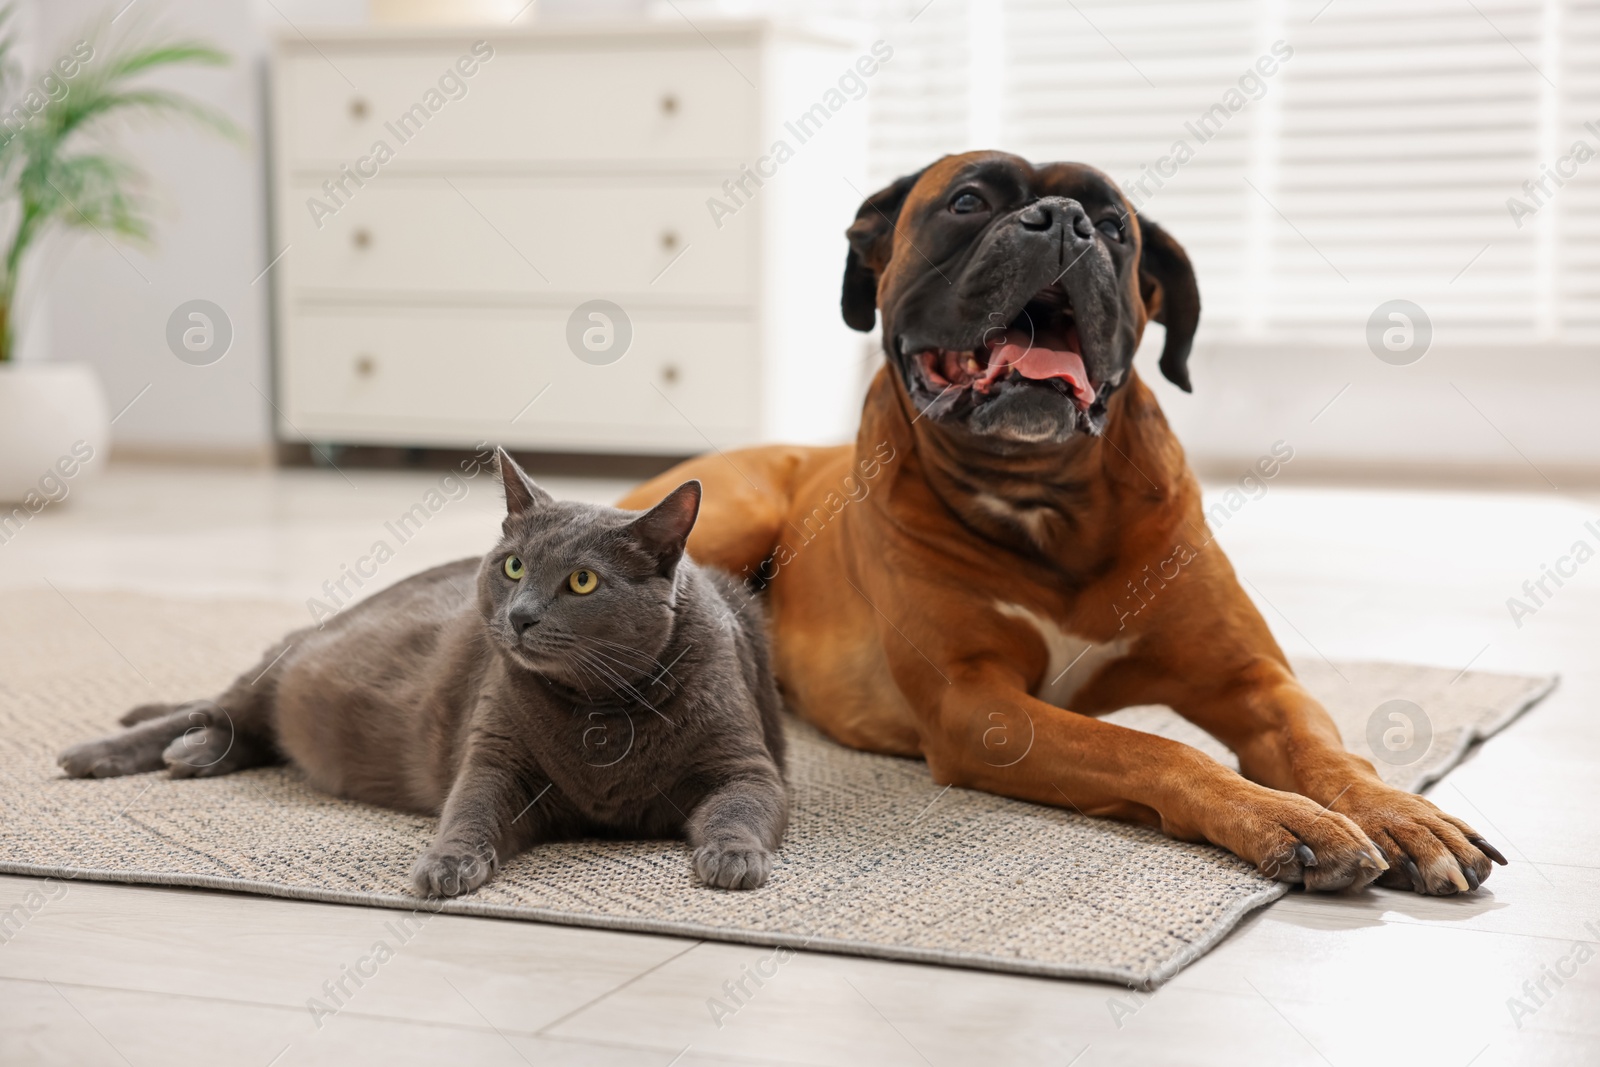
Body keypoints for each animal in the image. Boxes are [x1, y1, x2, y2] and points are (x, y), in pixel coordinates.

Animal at [59, 447, 784, 895]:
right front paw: (447, 863)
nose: (520, 614)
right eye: (514, 565)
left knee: (245, 731)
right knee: (216, 705)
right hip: (287, 666)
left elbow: (741, 807)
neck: (600, 708)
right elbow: (471, 807)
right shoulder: (495, 754)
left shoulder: (747, 763)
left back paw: (196, 753)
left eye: (582, 581)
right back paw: (101, 753)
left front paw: (734, 857)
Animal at [617, 150, 1504, 895]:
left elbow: (1329, 749)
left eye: (1113, 225)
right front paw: (1278, 814)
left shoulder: (1253, 680)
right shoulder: (983, 710)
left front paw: (1401, 813)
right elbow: (1154, 746)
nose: (1062, 220)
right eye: (967, 201)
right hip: (734, 514)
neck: (1044, 497)